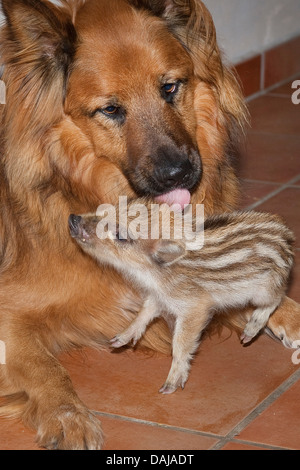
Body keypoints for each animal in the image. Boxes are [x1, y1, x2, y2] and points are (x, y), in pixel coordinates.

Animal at [0, 0, 298, 448]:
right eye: (110, 109)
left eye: (170, 87)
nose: (178, 174)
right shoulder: (12, 308)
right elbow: (44, 367)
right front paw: (68, 416)